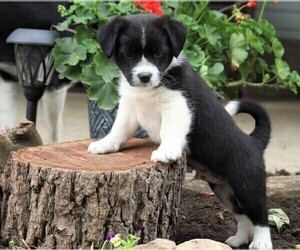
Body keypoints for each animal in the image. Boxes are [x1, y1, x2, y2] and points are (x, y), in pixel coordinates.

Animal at [88, 14, 274, 250]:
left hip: (247, 184)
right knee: (242, 215)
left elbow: (170, 130)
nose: (145, 76)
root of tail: (254, 142)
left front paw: (166, 151)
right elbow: (118, 129)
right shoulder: (130, 107)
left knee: (260, 215)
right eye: (129, 54)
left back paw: (261, 242)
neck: (151, 89)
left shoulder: (177, 105)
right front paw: (104, 144)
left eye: (158, 53)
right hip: (223, 189)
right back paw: (239, 239)